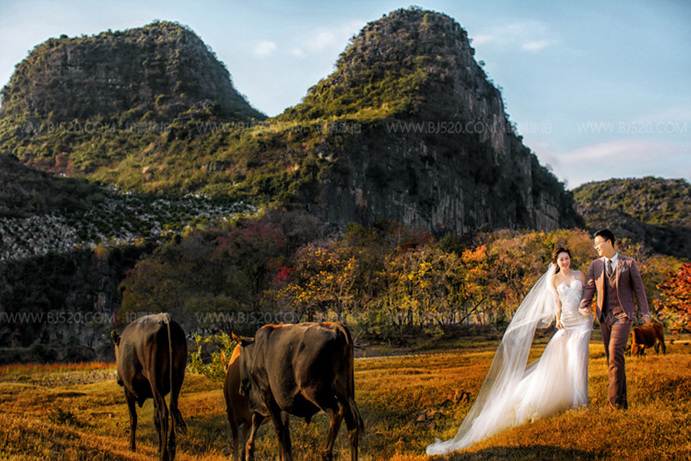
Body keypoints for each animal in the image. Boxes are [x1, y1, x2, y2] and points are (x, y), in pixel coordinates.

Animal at [111, 312, 188, 460]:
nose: (118, 380)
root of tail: (165, 319)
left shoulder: (128, 391)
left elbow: (133, 418)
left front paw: (131, 447)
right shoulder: (154, 394)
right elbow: (155, 419)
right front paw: (158, 448)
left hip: (154, 379)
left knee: (164, 412)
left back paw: (164, 454)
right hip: (177, 378)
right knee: (172, 408)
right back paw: (170, 449)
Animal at [235, 322, 364, 460]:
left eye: (240, 356)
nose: (241, 389)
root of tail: (336, 326)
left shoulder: (267, 396)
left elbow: (279, 431)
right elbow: (283, 433)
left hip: (316, 392)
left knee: (337, 413)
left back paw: (325, 451)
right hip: (344, 393)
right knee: (352, 427)